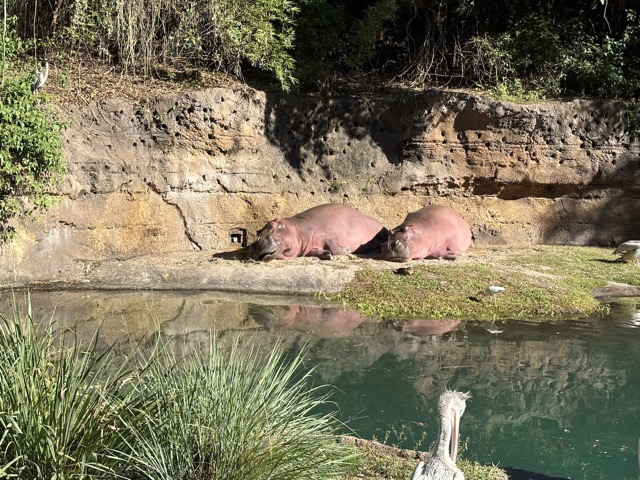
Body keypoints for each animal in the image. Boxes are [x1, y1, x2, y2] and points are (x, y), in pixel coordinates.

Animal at [250, 203, 388, 261]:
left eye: (273, 226)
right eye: (258, 232)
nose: (256, 242)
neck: (297, 229)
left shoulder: (327, 234)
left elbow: (334, 247)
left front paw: (347, 250)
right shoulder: (309, 248)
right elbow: (314, 252)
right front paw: (326, 254)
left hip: (379, 228)